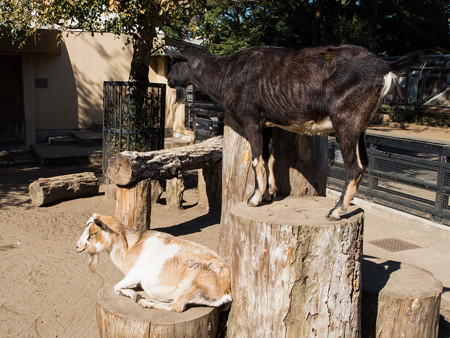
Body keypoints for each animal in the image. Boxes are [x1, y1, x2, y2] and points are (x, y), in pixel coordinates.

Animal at [75, 214, 232, 312]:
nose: (77, 247)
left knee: (176, 307)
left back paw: (145, 302)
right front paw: (134, 295)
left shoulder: (135, 275)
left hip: (189, 282)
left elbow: (116, 287)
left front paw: (135, 296)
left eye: (92, 234)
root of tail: (226, 288)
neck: (131, 247)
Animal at [166, 44, 422, 219]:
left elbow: (256, 160)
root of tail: (385, 67)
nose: (168, 80)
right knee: (365, 163)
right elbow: (268, 158)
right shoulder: (267, 124)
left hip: (347, 121)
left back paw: (335, 211)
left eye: (175, 62)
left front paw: (254, 199)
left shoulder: (251, 120)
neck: (225, 73)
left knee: (355, 167)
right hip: (360, 126)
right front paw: (269, 193)